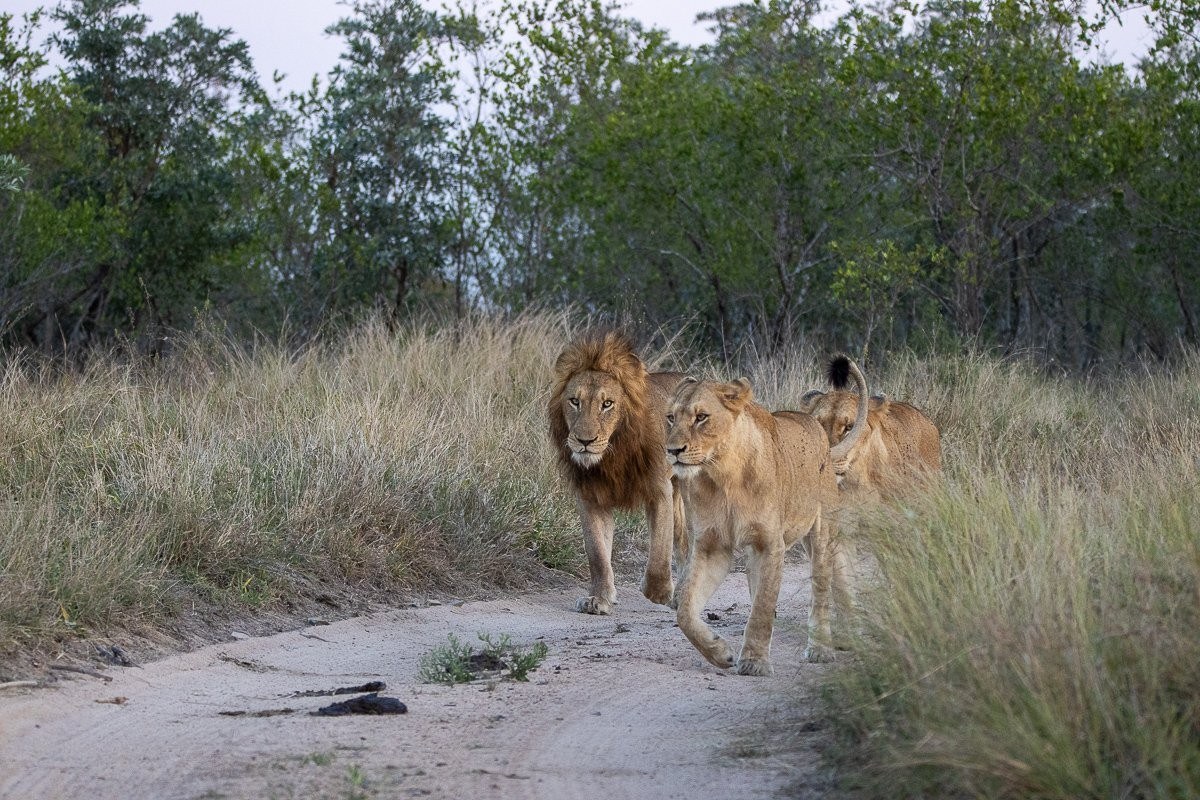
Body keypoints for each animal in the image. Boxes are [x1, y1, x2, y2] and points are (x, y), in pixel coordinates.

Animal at [548, 331, 689, 615]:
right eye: (575, 401)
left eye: (607, 404)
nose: (585, 441)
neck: (613, 453)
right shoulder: (591, 497)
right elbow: (597, 554)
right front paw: (598, 599)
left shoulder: (659, 491)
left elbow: (660, 549)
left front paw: (659, 592)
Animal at [664, 357, 869, 674]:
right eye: (670, 418)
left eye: (701, 417)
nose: (673, 450)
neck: (723, 474)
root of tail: (821, 435)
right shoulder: (712, 546)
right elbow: (685, 610)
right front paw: (719, 652)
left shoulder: (770, 545)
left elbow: (761, 606)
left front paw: (754, 662)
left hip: (821, 536)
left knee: (821, 592)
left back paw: (821, 649)